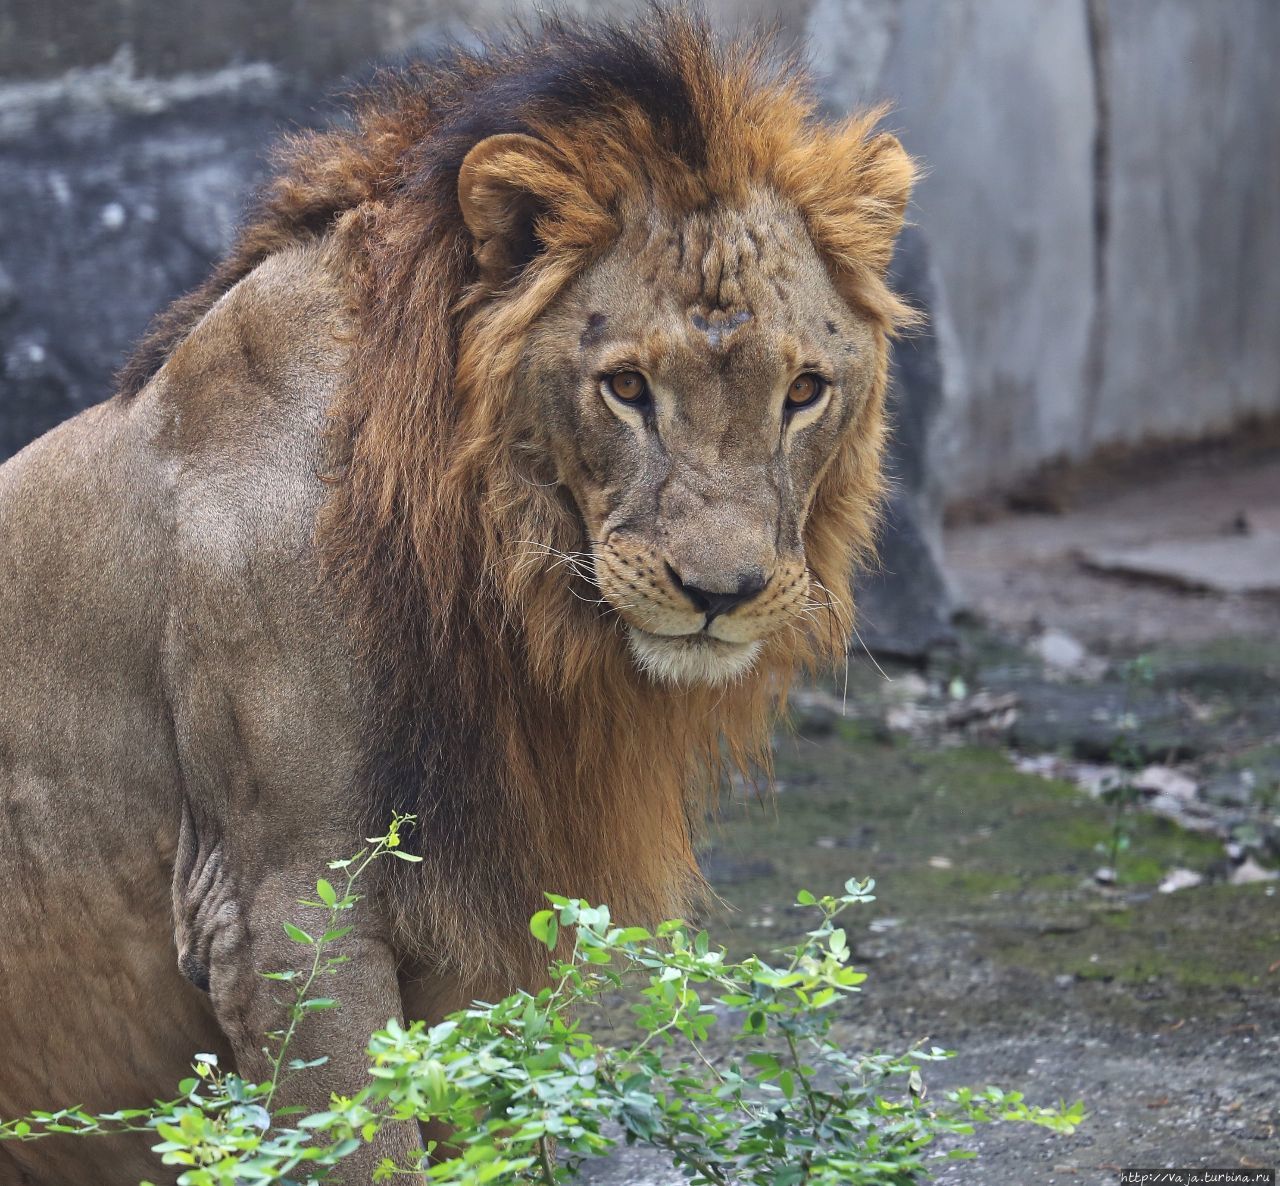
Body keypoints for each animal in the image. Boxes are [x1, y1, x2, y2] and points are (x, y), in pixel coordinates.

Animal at [0, 11, 911, 1186]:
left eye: (802, 391)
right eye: (626, 387)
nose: (722, 592)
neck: (498, 577)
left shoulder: (488, 913)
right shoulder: (280, 906)